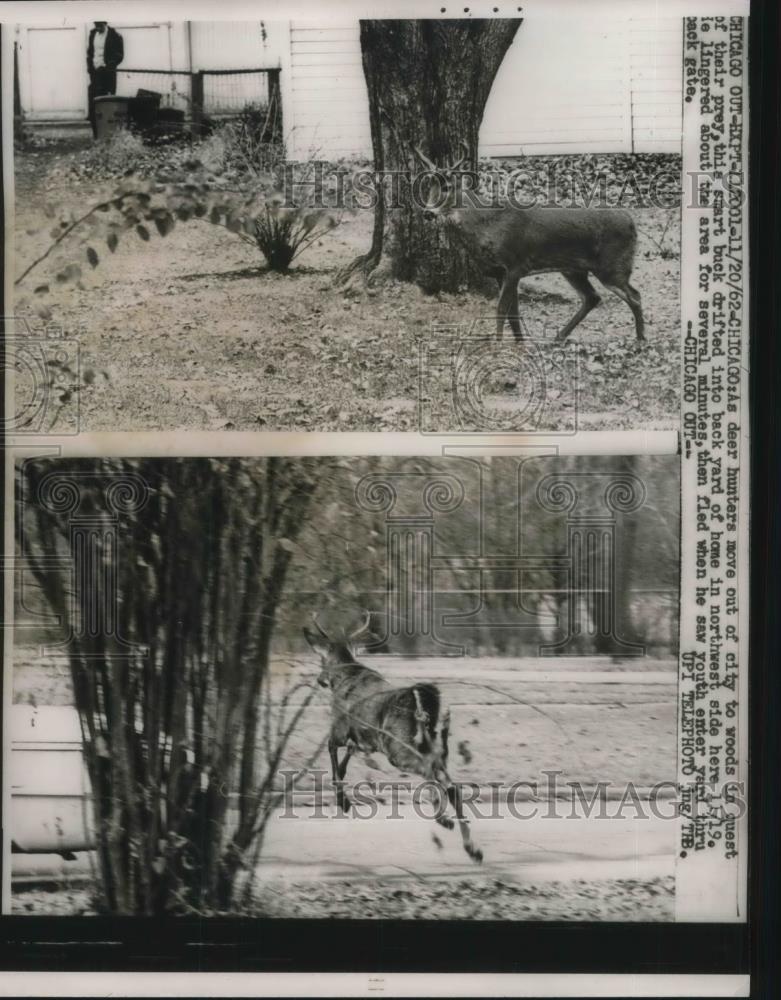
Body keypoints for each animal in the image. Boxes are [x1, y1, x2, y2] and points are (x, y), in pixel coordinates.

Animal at [304, 612, 482, 864]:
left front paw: (343, 801)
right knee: (452, 785)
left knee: (428, 770)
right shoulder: (362, 740)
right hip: (435, 745)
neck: (345, 677)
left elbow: (333, 756)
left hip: (397, 746)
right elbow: (346, 760)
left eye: (321, 659)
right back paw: (472, 848)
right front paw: (344, 799)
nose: (321, 679)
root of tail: (421, 698)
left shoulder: (339, 727)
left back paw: (444, 819)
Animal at [414, 141, 644, 344]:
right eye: (428, 185)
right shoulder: (501, 272)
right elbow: (513, 312)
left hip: (613, 264)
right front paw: (520, 342)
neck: (487, 224)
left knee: (634, 295)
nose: (428, 213)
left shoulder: (515, 264)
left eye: (447, 186)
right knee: (592, 297)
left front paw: (497, 345)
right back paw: (559, 337)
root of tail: (631, 222)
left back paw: (641, 339)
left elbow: (501, 309)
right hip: (573, 269)